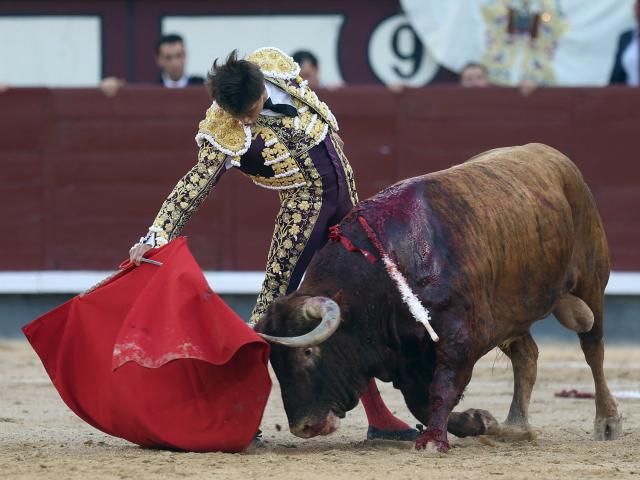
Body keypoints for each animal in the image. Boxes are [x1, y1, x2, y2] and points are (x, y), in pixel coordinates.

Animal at [254, 143, 622, 452]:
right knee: (527, 356)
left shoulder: (458, 340)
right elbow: (421, 401)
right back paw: (514, 427)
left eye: (309, 352)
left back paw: (607, 422)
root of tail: (555, 156)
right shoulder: (407, 359)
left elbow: (442, 388)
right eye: (274, 361)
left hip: (591, 283)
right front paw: (477, 421)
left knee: (594, 348)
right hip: (511, 314)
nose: (302, 427)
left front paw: (434, 440)